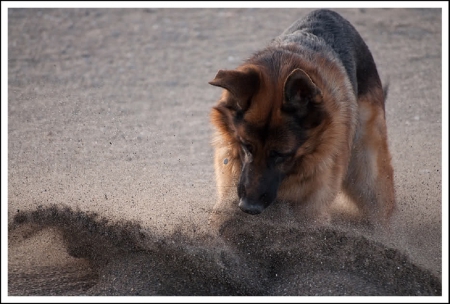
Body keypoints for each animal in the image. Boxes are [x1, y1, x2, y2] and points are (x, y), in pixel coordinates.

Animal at [207, 8, 394, 228]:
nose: (248, 207)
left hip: (368, 176)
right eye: (246, 146)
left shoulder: (311, 211)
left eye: (280, 154)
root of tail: (328, 12)